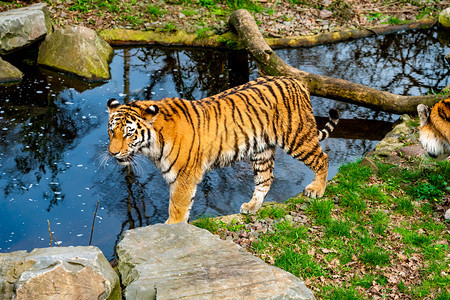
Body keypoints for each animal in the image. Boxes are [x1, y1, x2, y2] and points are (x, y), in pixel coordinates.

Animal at [106, 76, 338, 224]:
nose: (113, 153)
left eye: (128, 133)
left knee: (323, 158)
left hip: (296, 137)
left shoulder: (183, 179)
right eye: (111, 131)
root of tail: (297, 81)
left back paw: (317, 189)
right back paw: (252, 207)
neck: (152, 147)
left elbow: (177, 209)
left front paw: (171, 231)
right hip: (262, 150)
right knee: (266, 179)